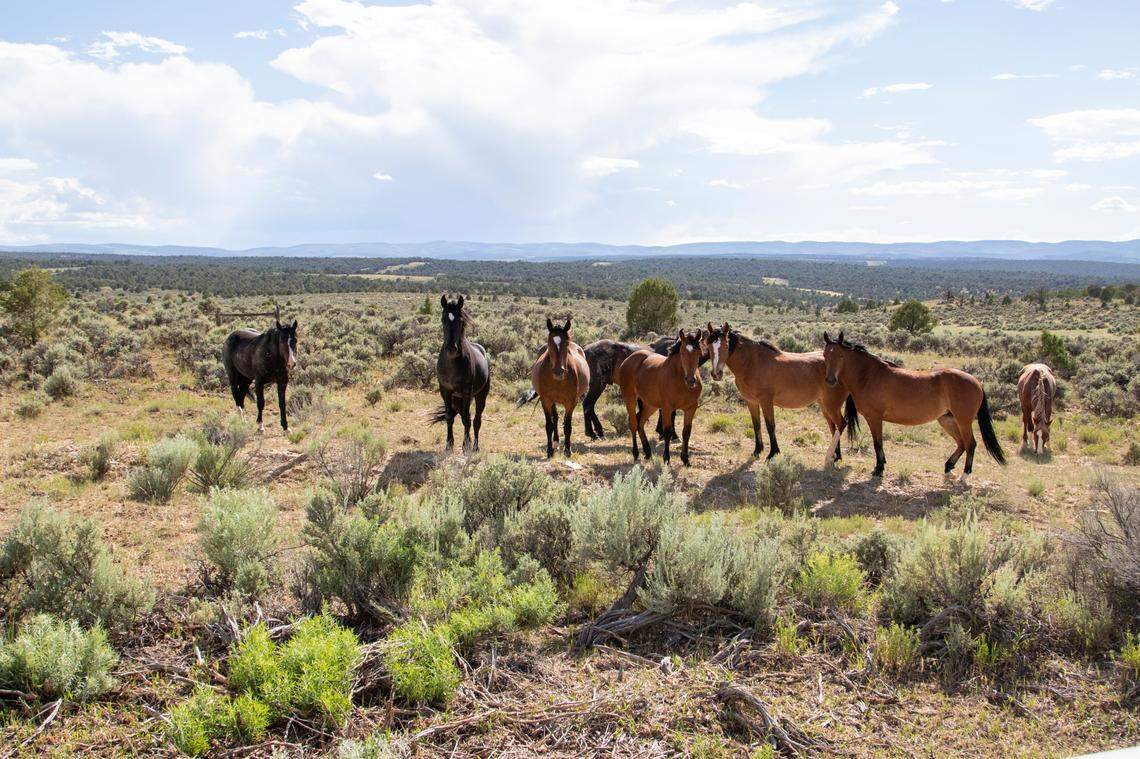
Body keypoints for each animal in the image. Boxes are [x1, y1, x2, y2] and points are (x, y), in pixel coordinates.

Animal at [430, 295, 490, 452]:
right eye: (443, 319)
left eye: (461, 320)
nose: (452, 348)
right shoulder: (445, 391)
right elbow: (449, 417)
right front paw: (449, 444)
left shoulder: (466, 392)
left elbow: (466, 420)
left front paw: (465, 445)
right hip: (457, 399)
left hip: (480, 396)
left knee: (476, 420)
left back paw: (474, 446)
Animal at [529, 318, 590, 458]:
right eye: (549, 342)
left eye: (566, 344)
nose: (558, 371)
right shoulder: (546, 401)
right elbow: (549, 425)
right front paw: (549, 451)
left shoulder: (571, 402)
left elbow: (567, 426)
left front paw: (567, 450)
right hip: (551, 402)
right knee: (555, 418)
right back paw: (556, 443)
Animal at [615, 329, 704, 466]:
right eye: (682, 352)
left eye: (698, 352)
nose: (690, 380)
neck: (679, 379)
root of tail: (628, 360)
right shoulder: (667, 408)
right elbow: (667, 432)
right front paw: (666, 459)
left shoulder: (691, 408)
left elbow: (686, 432)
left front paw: (685, 459)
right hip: (630, 398)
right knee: (633, 423)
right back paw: (636, 454)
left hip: (650, 405)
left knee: (640, 422)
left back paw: (647, 452)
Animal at [702, 322, 857, 466]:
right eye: (708, 345)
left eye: (726, 345)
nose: (716, 374)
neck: (752, 362)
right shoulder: (751, 402)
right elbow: (756, 425)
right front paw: (757, 451)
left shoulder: (766, 401)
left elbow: (770, 426)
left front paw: (772, 453)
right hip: (825, 406)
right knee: (833, 427)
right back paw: (836, 456)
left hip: (832, 406)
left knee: (841, 424)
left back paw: (833, 457)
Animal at [822, 331, 1004, 477]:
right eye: (824, 355)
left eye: (840, 356)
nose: (830, 380)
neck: (868, 376)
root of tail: (977, 381)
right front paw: (881, 466)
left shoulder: (874, 418)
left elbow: (877, 443)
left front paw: (878, 469)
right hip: (947, 420)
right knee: (961, 444)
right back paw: (948, 466)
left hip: (963, 422)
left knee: (970, 444)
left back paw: (964, 475)